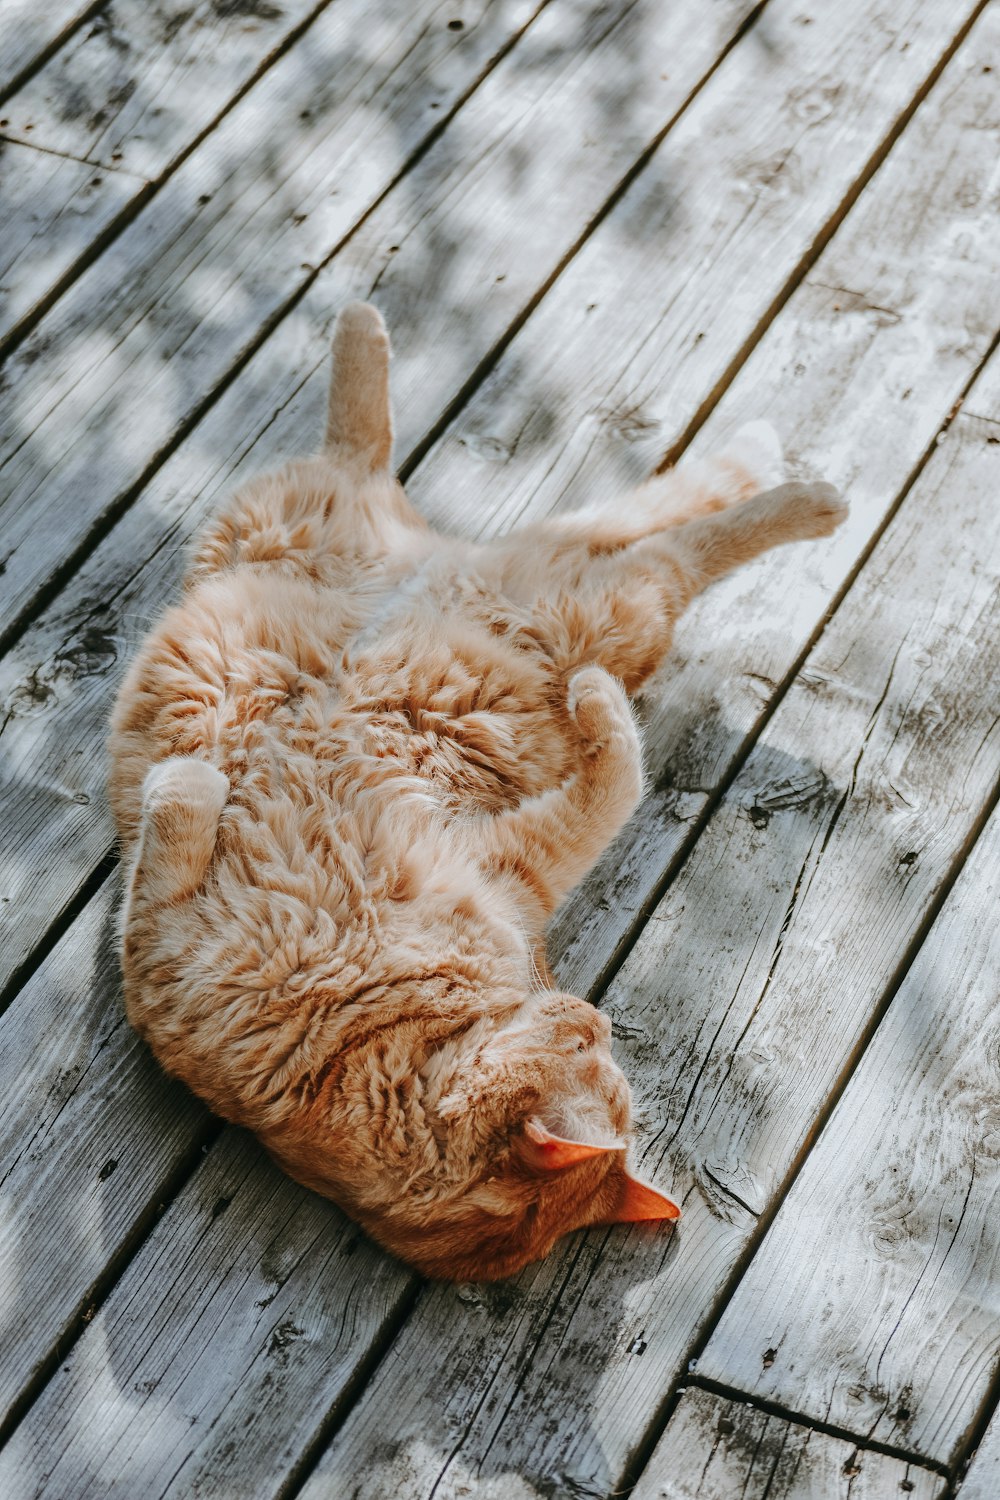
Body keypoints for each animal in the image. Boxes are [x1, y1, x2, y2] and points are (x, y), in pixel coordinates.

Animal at [107, 301, 845, 1278]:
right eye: (591, 1045)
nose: (583, 1006)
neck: (369, 1036)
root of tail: (412, 559)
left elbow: (621, 774)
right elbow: (618, 776)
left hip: (585, 603)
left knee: (660, 540)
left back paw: (804, 494)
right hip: (441, 561)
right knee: (432, 468)